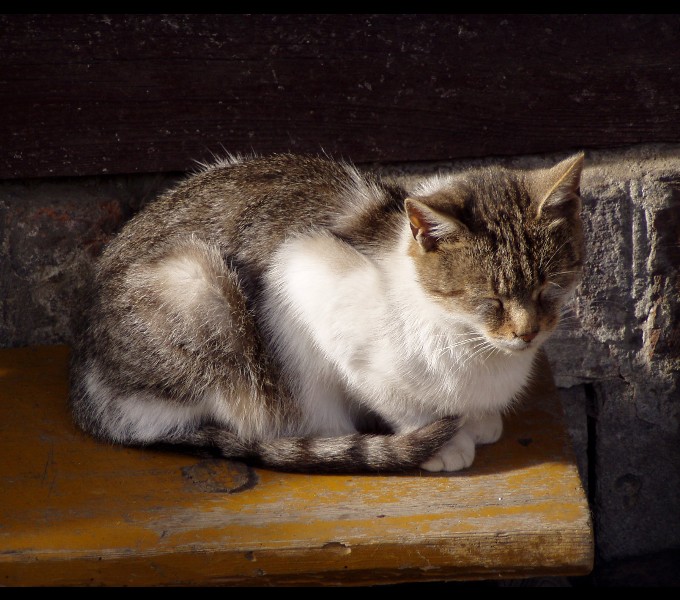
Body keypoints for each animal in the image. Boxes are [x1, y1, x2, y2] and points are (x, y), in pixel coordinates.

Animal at [71, 152, 588, 476]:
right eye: (490, 299)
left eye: (549, 287)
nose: (527, 333)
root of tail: (86, 384)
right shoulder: (308, 276)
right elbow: (398, 401)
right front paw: (444, 441)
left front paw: (479, 419)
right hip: (198, 287)